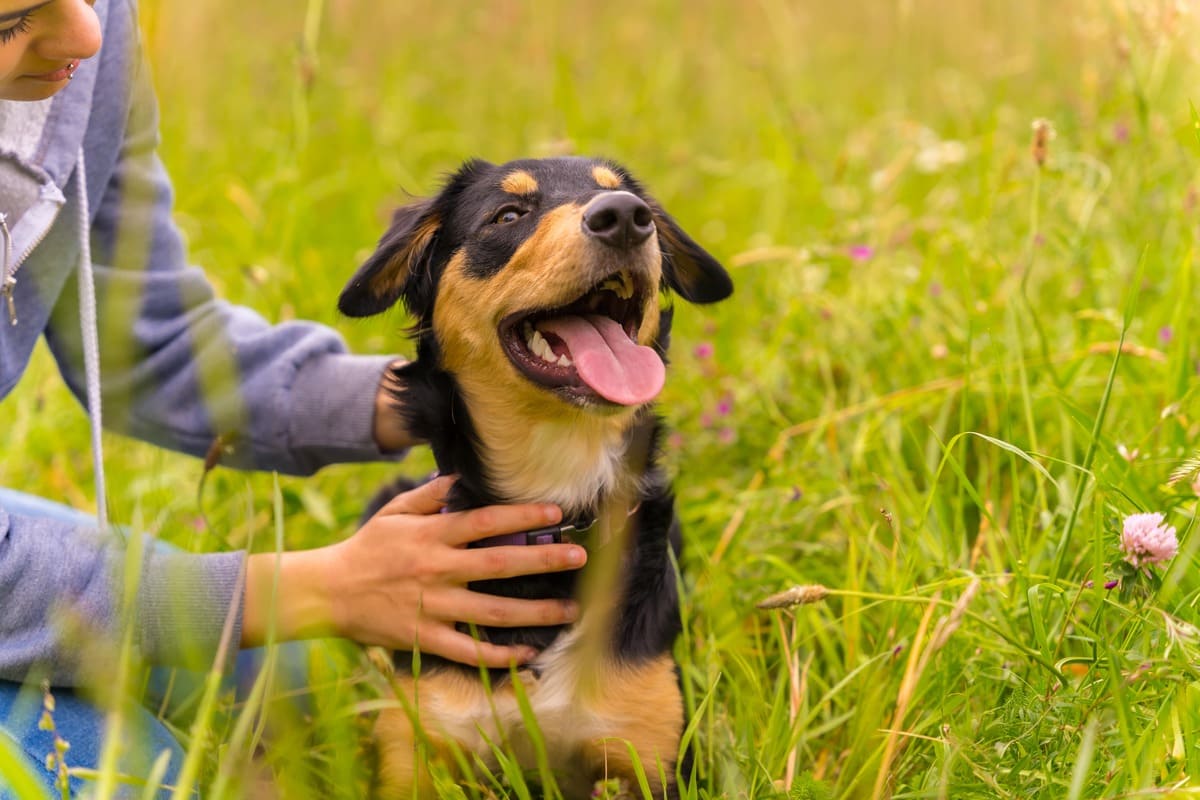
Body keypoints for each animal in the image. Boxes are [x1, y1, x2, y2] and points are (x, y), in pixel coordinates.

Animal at [338, 158, 729, 800]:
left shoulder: (650, 752)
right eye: (507, 215)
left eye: (618, 194)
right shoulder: (415, 746)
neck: (558, 488)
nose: (625, 216)